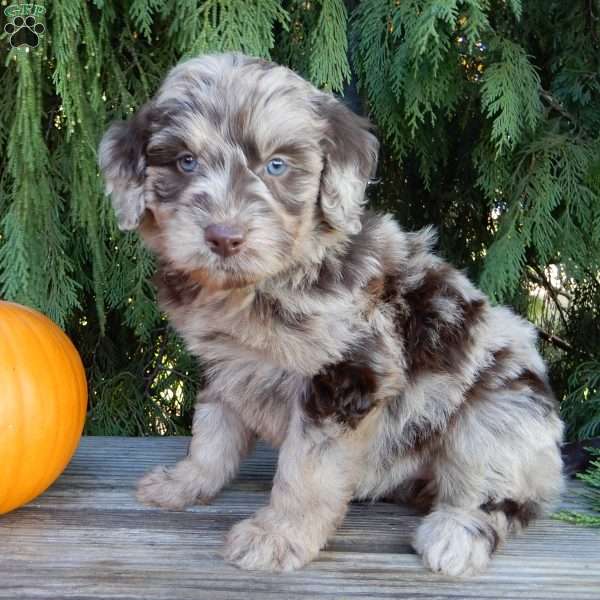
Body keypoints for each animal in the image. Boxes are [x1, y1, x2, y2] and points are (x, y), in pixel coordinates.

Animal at [98, 52, 564, 576]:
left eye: (277, 165)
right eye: (186, 161)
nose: (224, 237)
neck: (265, 282)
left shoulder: (349, 373)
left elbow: (306, 469)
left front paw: (277, 536)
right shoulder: (227, 364)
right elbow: (211, 431)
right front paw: (186, 482)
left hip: (499, 416)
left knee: (502, 493)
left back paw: (456, 534)